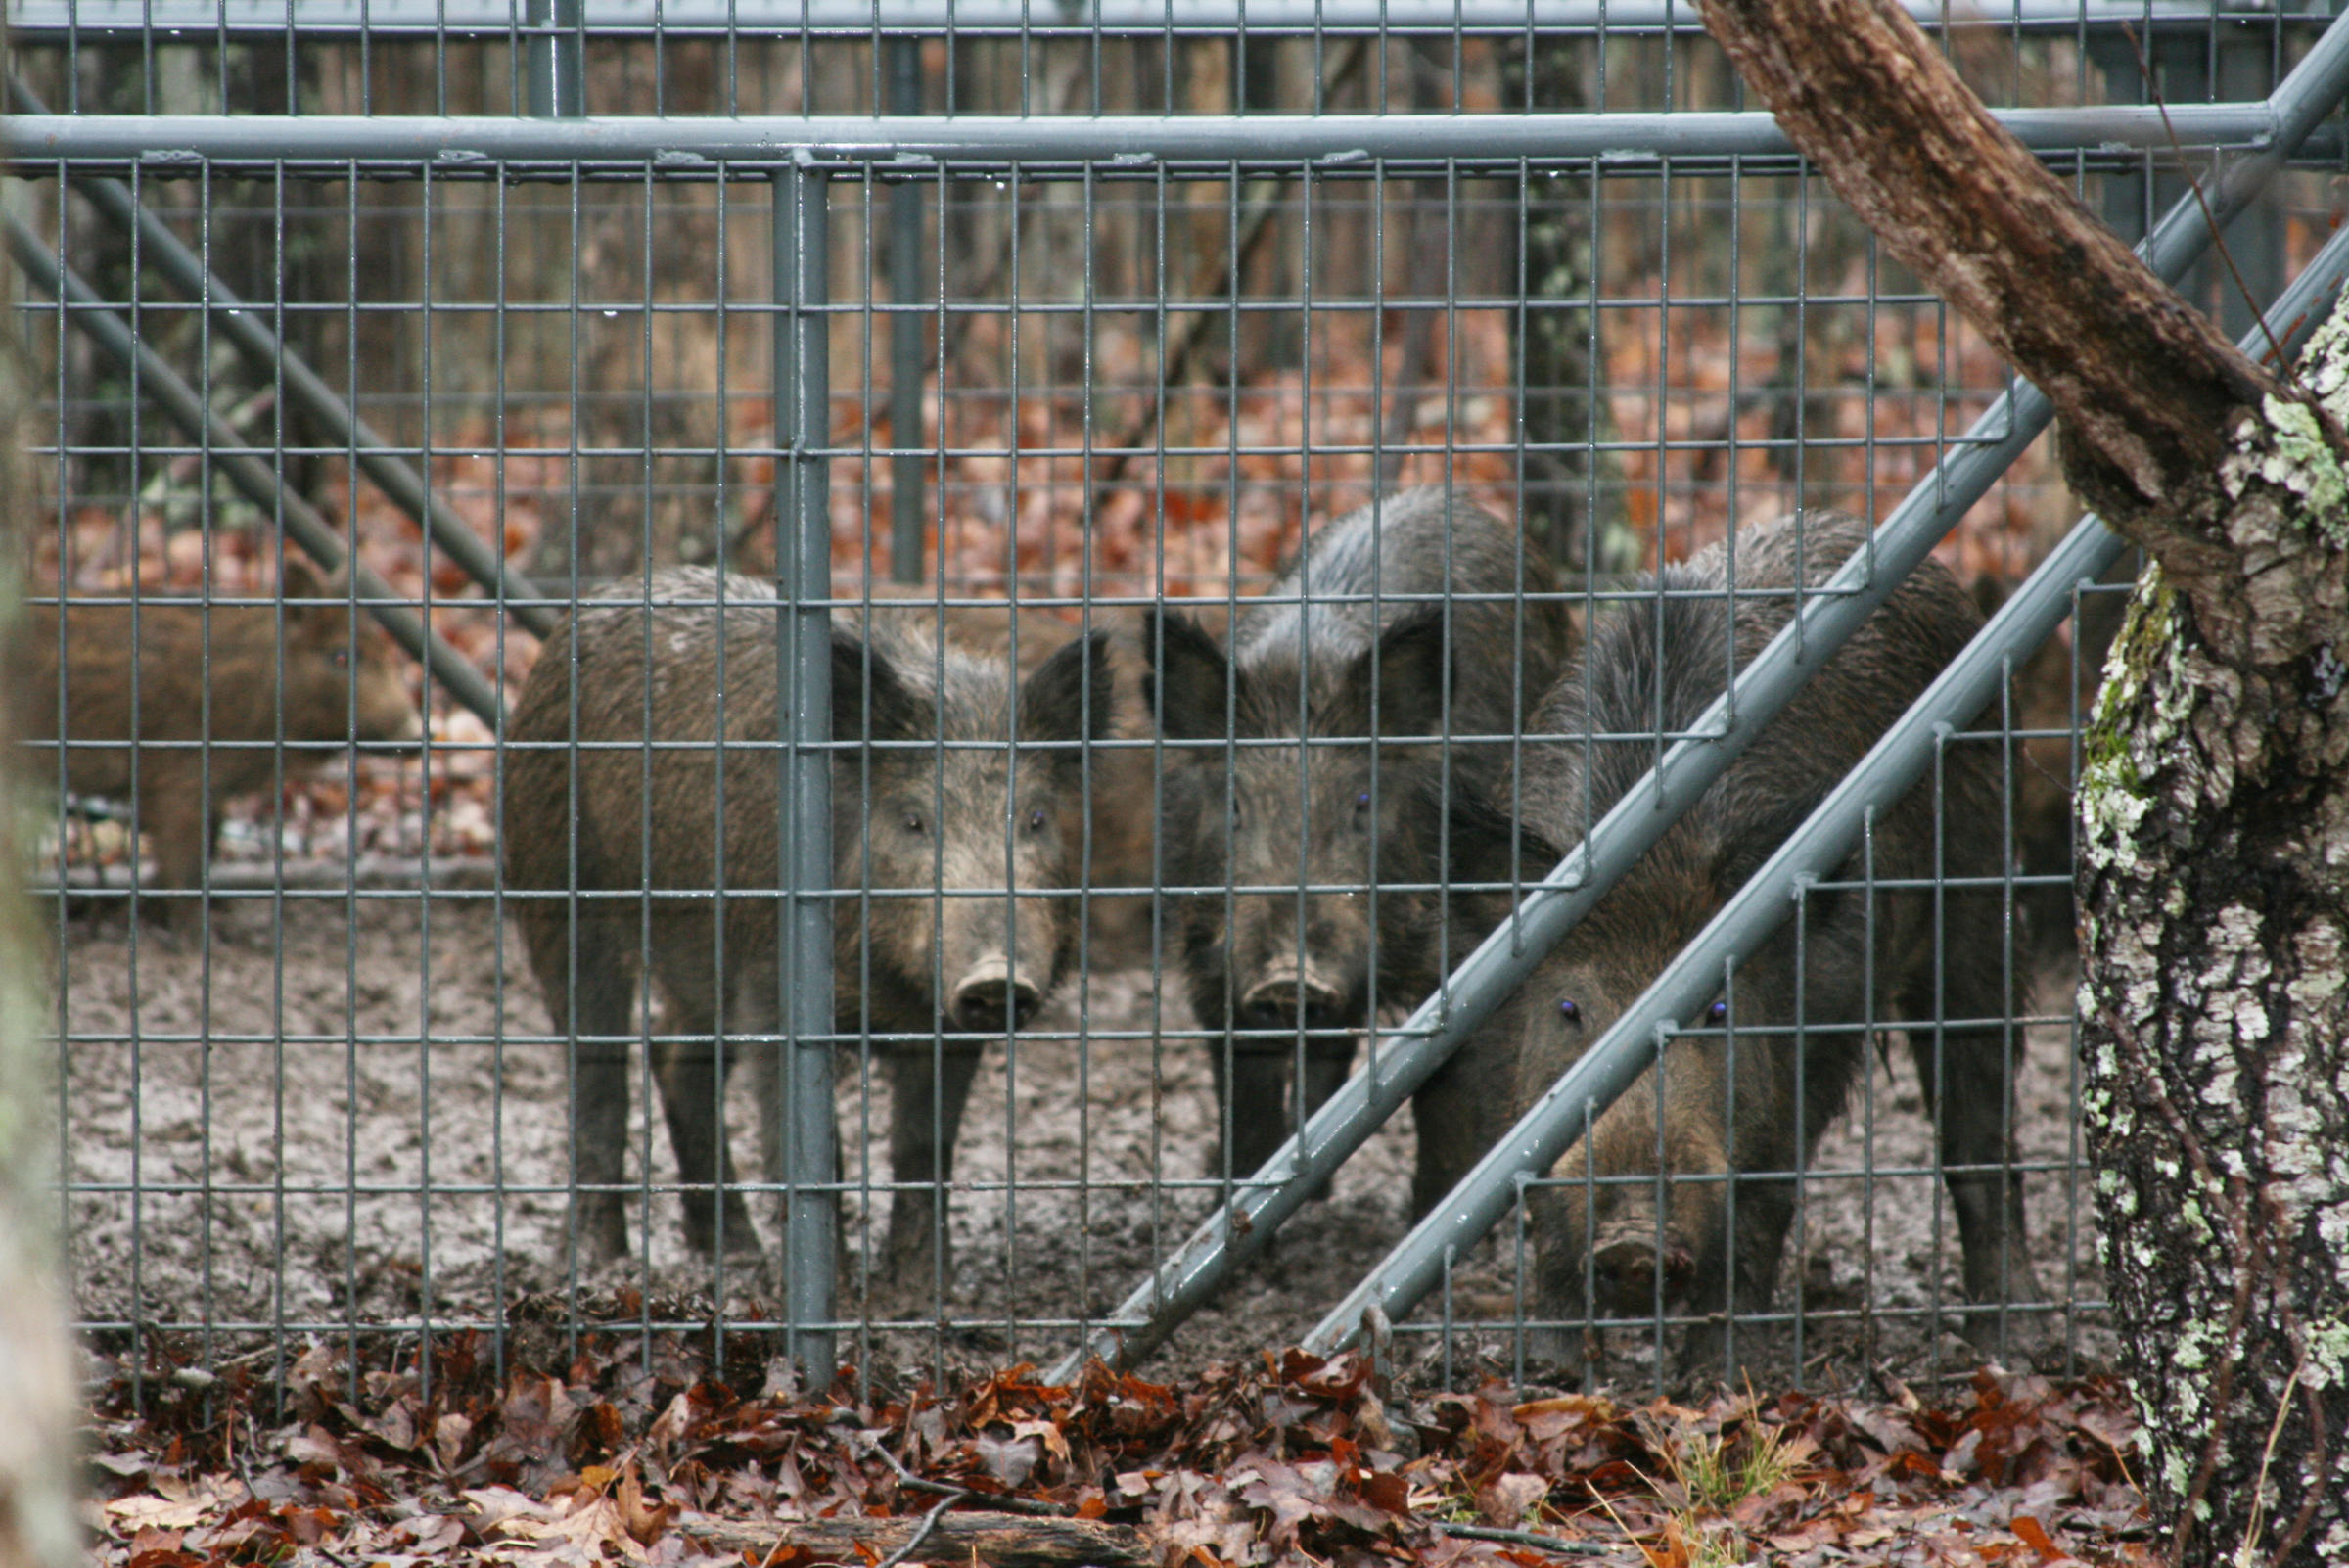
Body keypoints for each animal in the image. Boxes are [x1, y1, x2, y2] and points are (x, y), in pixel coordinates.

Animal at [505, 570, 1108, 1305]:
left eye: (1037, 818)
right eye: (913, 820)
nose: (996, 975)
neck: (888, 991)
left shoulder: (948, 1027)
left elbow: (924, 1146)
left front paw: (923, 1295)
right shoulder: (773, 990)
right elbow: (813, 1145)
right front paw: (838, 1297)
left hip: (699, 960)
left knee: (673, 1055)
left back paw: (731, 1252)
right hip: (556, 890)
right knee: (598, 1077)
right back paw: (602, 1264)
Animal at [1141, 485, 1569, 1211]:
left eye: (1363, 804)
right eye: (1233, 805)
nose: (1291, 975)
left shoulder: (1468, 943)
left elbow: (1444, 1098)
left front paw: (1426, 1215)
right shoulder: (1210, 954)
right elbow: (1244, 1094)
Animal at [1494, 514, 2048, 1370]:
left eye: (1719, 1011)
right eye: (1568, 1010)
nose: (1632, 1245)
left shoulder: (1820, 1022)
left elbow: (1765, 1193)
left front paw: (1718, 1374)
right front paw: (1548, 1369)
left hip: (1983, 897)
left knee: (1979, 1126)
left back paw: (2012, 1347)